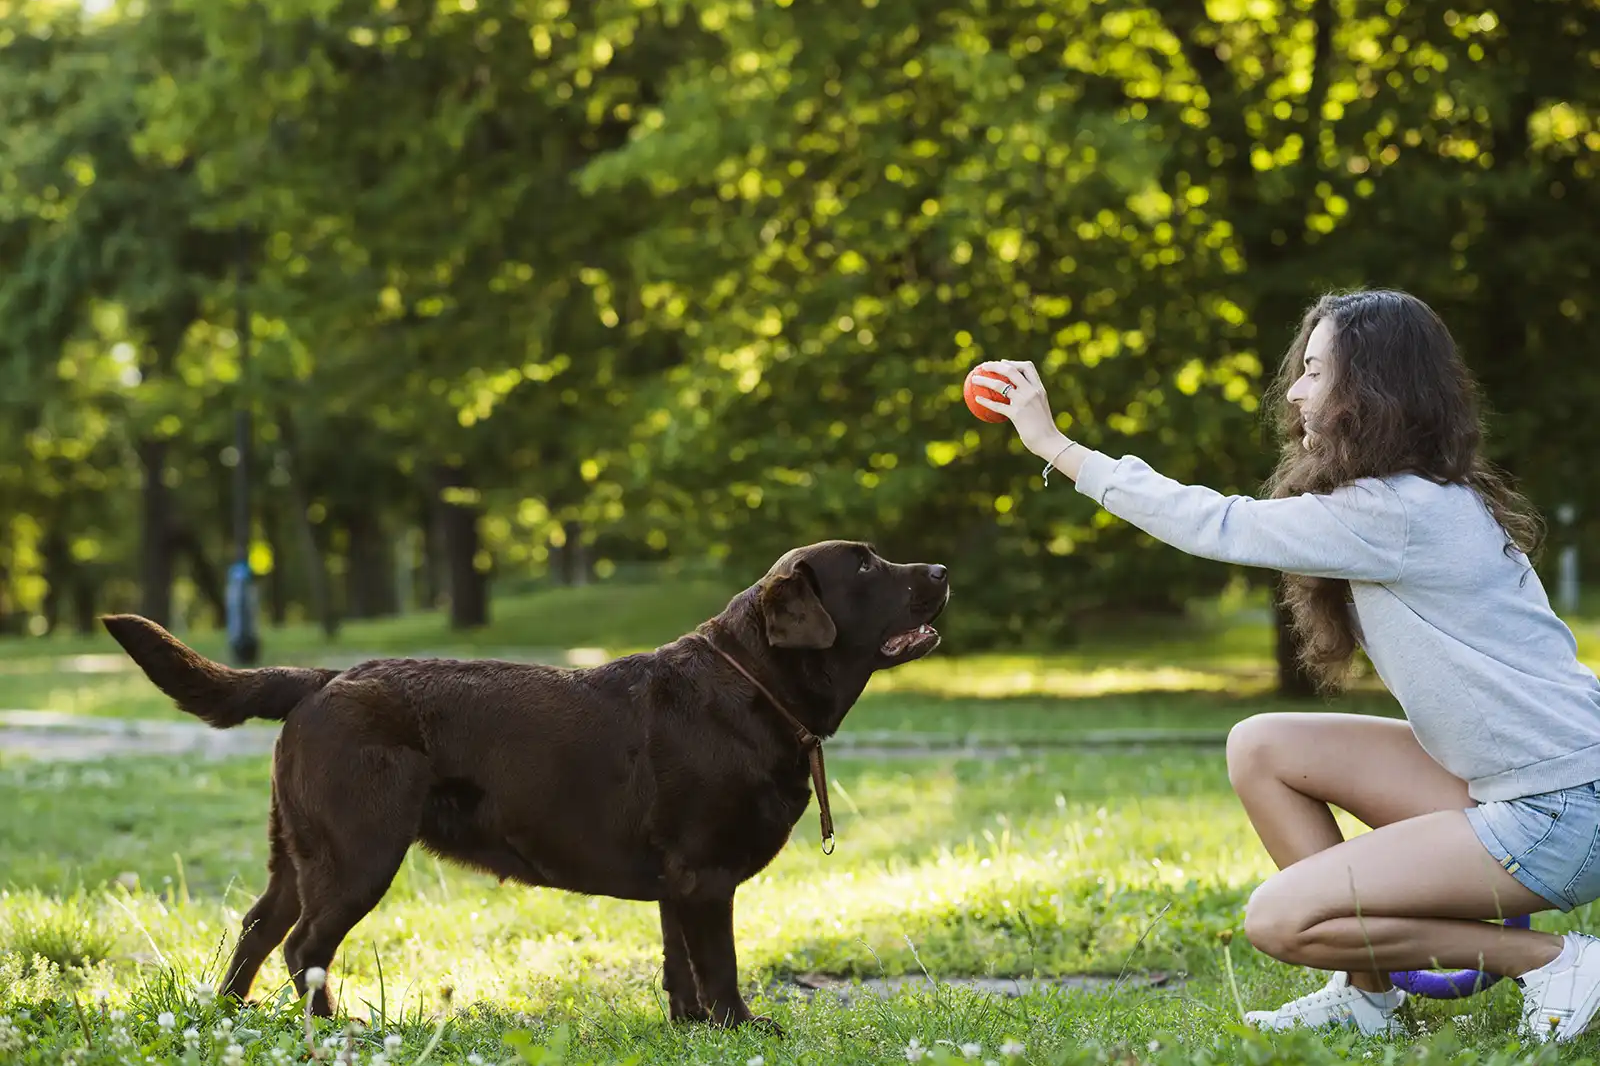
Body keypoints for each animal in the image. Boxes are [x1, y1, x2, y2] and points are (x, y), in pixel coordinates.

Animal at [103, 544, 947, 1024]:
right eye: (865, 566)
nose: (941, 571)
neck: (752, 683)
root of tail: (324, 677)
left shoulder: (675, 880)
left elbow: (678, 964)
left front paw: (690, 1028)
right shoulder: (705, 876)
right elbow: (722, 965)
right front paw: (741, 1027)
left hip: (299, 851)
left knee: (257, 927)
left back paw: (232, 1019)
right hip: (360, 851)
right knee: (304, 945)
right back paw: (332, 1030)